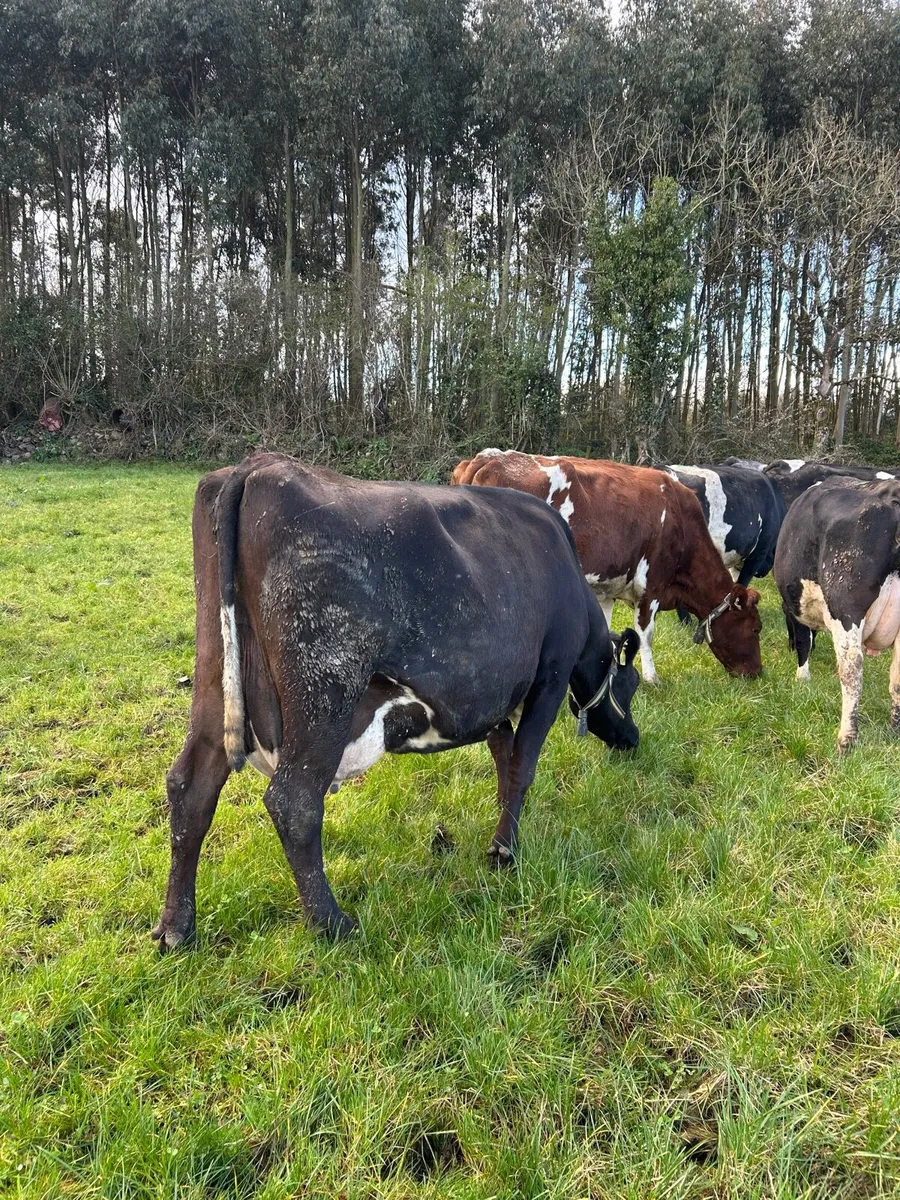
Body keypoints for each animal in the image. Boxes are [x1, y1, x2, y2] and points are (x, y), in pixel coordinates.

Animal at [152, 453, 641, 947]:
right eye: (631, 684)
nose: (633, 739)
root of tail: (262, 465)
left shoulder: (491, 699)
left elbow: (503, 760)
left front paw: (502, 831)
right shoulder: (550, 678)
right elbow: (522, 768)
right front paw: (505, 851)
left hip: (215, 678)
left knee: (190, 787)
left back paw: (176, 928)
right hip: (324, 693)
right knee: (294, 801)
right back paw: (333, 924)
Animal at [450, 450, 762, 685]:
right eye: (756, 628)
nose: (757, 673)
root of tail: (488, 457)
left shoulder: (607, 589)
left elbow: (608, 633)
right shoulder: (652, 584)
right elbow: (646, 633)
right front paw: (651, 679)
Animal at [774, 476, 900, 752]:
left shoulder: (796, 608)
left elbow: (804, 642)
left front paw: (802, 679)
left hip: (845, 607)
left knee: (852, 667)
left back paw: (846, 739)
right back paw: (895, 730)